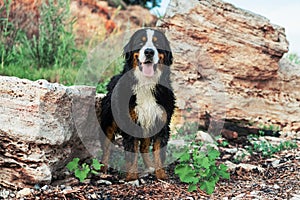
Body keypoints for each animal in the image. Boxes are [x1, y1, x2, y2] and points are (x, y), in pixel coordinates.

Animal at [100, 28, 176, 181]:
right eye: (141, 42)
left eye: (157, 44)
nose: (149, 52)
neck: (146, 84)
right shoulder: (130, 123)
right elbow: (132, 152)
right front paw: (132, 177)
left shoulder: (162, 121)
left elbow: (159, 153)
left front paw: (161, 175)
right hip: (109, 122)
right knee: (106, 147)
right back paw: (103, 170)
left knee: (144, 148)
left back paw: (150, 167)